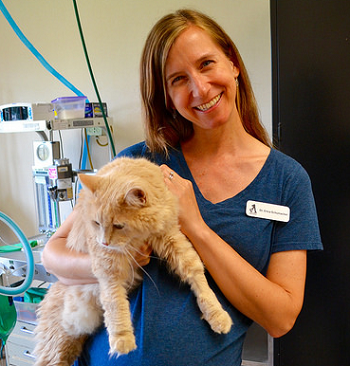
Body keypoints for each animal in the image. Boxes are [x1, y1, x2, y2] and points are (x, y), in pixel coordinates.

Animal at [34, 157, 232, 366]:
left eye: (118, 226)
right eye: (96, 223)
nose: (104, 241)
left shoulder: (170, 236)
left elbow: (195, 272)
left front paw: (215, 313)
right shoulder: (108, 266)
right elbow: (115, 302)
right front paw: (122, 338)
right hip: (55, 347)